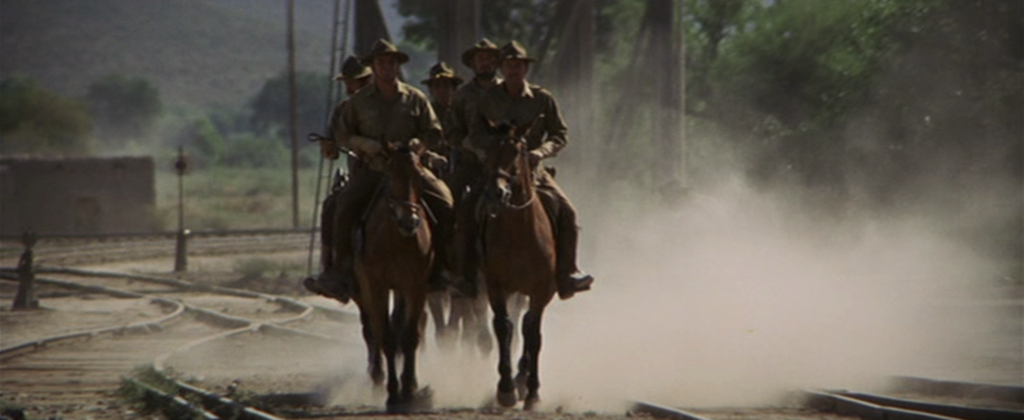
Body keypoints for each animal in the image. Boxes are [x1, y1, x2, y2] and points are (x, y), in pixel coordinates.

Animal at [356, 139, 432, 411]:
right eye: (389, 176)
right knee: (372, 329)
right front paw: (392, 394)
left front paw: (408, 390)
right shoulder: (376, 286)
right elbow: (386, 336)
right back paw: (377, 377)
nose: (409, 222)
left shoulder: (416, 287)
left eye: (419, 176)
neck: (398, 241)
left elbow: (409, 336)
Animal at [481, 134, 557, 407]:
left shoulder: (541, 290)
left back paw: (523, 378)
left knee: (526, 325)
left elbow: (533, 333)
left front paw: (533, 391)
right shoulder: (496, 286)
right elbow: (503, 327)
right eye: (488, 151)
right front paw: (505, 389)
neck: (519, 233)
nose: (496, 192)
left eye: (516, 153)